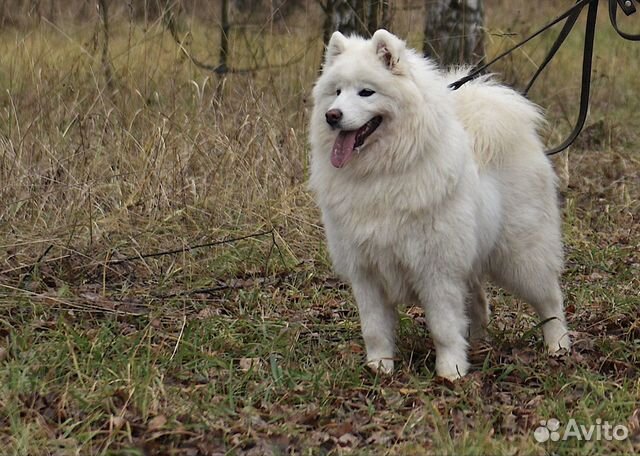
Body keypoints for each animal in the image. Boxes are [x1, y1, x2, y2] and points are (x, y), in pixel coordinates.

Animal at [308, 30, 572, 380]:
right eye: (336, 92)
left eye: (366, 92)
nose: (332, 116)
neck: (381, 173)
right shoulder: (365, 272)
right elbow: (374, 329)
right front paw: (380, 368)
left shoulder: (436, 268)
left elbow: (444, 328)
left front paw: (451, 371)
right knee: (479, 304)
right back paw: (478, 344)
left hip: (521, 257)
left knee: (550, 300)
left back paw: (559, 346)